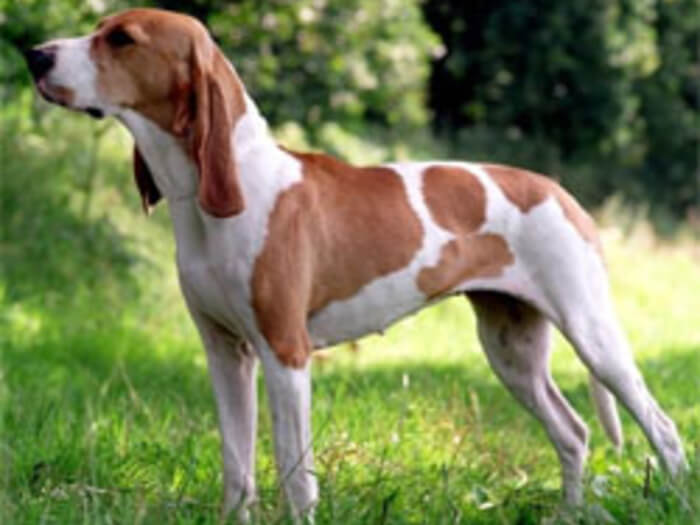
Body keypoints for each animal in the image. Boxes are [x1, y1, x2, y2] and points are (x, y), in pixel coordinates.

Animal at [23, 8, 688, 520]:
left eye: (121, 38)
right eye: (99, 28)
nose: (34, 55)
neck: (218, 197)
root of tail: (559, 190)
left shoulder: (285, 356)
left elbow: (295, 475)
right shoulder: (225, 355)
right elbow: (237, 468)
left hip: (594, 337)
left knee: (664, 429)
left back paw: (676, 499)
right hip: (511, 349)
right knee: (573, 434)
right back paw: (569, 513)